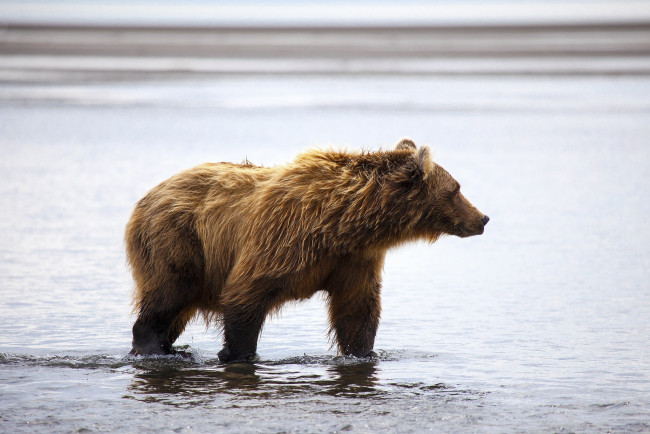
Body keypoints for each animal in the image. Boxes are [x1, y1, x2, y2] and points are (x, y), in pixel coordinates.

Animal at [125, 140, 486, 362]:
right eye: (456, 189)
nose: (482, 218)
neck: (344, 224)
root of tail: (147, 197)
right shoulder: (281, 239)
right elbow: (245, 293)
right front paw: (238, 353)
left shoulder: (354, 260)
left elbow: (357, 310)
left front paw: (363, 352)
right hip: (178, 240)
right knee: (168, 294)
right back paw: (154, 347)